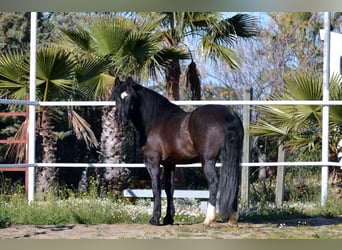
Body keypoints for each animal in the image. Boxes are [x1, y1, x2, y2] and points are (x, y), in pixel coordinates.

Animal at [111, 77, 243, 226]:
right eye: (116, 97)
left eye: (131, 98)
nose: (123, 122)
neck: (156, 120)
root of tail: (228, 114)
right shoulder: (169, 164)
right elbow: (169, 189)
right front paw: (168, 218)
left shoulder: (153, 162)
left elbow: (156, 187)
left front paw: (155, 218)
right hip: (234, 158)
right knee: (234, 183)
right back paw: (233, 219)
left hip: (207, 160)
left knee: (214, 182)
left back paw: (208, 219)